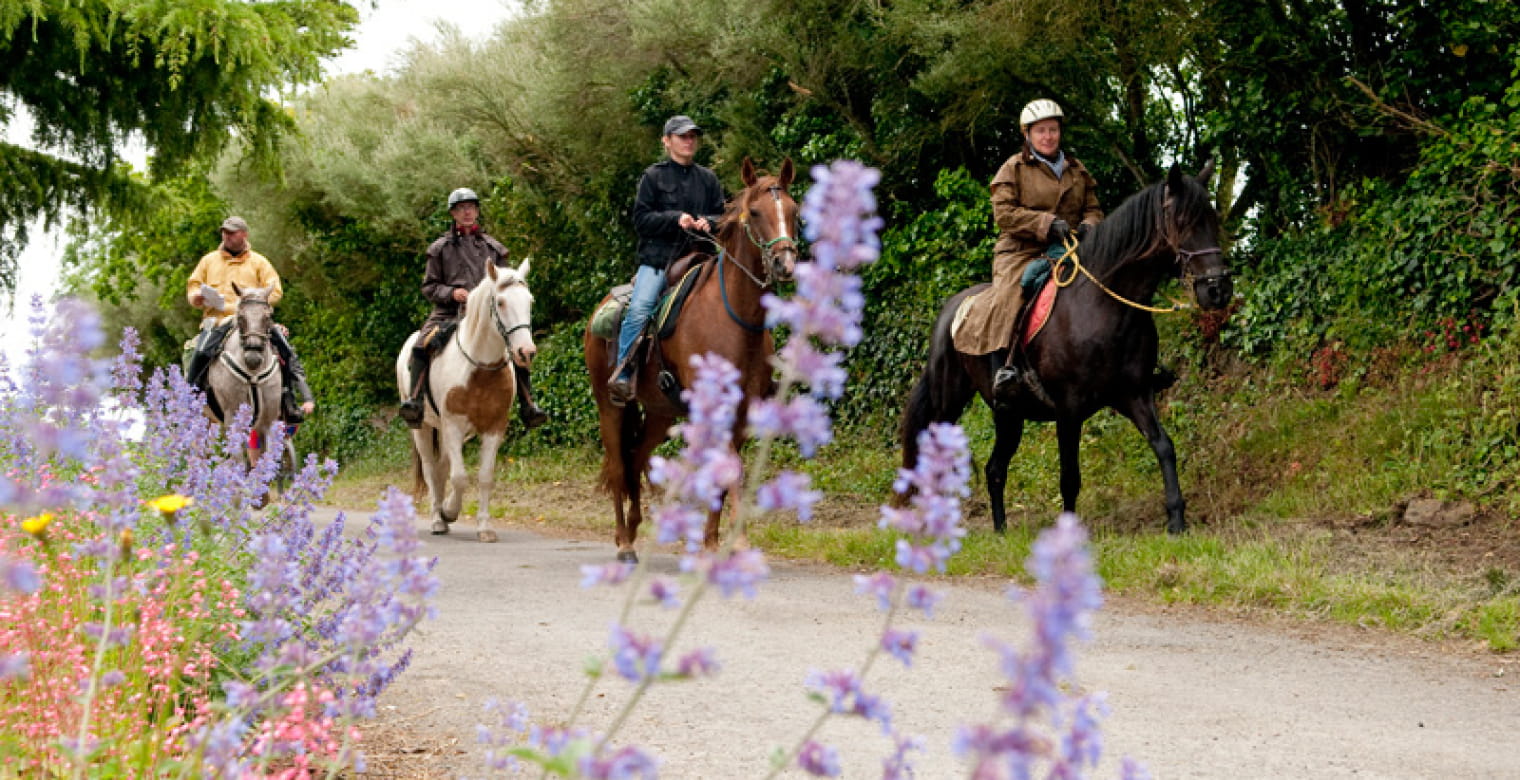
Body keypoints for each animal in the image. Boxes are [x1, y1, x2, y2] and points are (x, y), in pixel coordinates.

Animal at [395, 261, 538, 541]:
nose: (525, 352)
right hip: (423, 428)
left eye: (530, 301)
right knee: (431, 469)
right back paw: (437, 519)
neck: (480, 369)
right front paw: (450, 511)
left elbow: (484, 476)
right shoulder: (453, 425)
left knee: (441, 468)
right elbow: (460, 477)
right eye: (501, 302)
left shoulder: (494, 427)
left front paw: (484, 527)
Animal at [580, 156, 802, 559]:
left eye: (794, 210)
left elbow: (722, 473)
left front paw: (711, 542)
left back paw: (634, 528)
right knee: (619, 465)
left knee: (637, 458)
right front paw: (737, 541)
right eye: (755, 212)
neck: (734, 318)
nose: (785, 264)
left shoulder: (742, 411)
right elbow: (730, 469)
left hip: (660, 414)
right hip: (610, 405)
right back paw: (624, 543)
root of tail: (596, 316)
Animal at [899, 161, 1234, 532]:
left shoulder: (1135, 395)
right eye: (1182, 221)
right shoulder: (1068, 408)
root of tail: (950, 312)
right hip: (949, 405)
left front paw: (1176, 519)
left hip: (1008, 413)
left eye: (1212, 219)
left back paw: (1000, 530)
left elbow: (1164, 446)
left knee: (995, 469)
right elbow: (1070, 476)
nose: (1218, 289)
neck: (1104, 307)